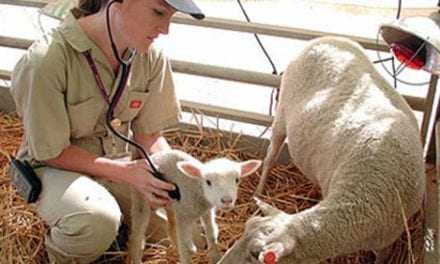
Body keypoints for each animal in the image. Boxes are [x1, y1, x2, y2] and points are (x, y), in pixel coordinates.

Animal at [125, 150, 260, 262]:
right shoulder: (185, 215)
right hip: (141, 196)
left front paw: (216, 258)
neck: (197, 189)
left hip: (172, 204)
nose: (226, 200)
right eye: (208, 182)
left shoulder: (206, 211)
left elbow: (212, 235)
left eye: (237, 180)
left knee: (171, 228)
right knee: (137, 235)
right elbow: (186, 247)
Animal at [218, 36, 424, 264]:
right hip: (282, 112)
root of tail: (324, 39)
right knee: (270, 157)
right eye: (245, 226)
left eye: (256, 254)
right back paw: (259, 191)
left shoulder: (386, 241)